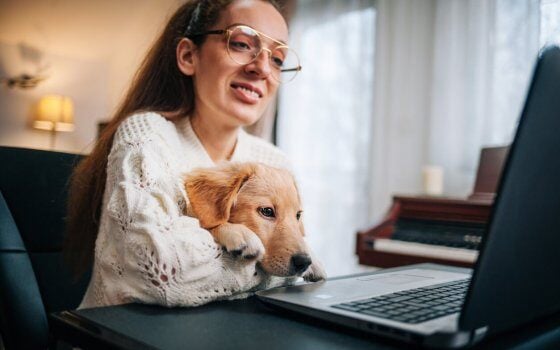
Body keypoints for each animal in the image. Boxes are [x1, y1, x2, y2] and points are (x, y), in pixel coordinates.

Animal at [185, 162, 324, 282]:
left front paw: (315, 263)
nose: (304, 262)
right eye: (267, 211)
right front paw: (241, 233)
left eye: (298, 215)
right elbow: (210, 224)